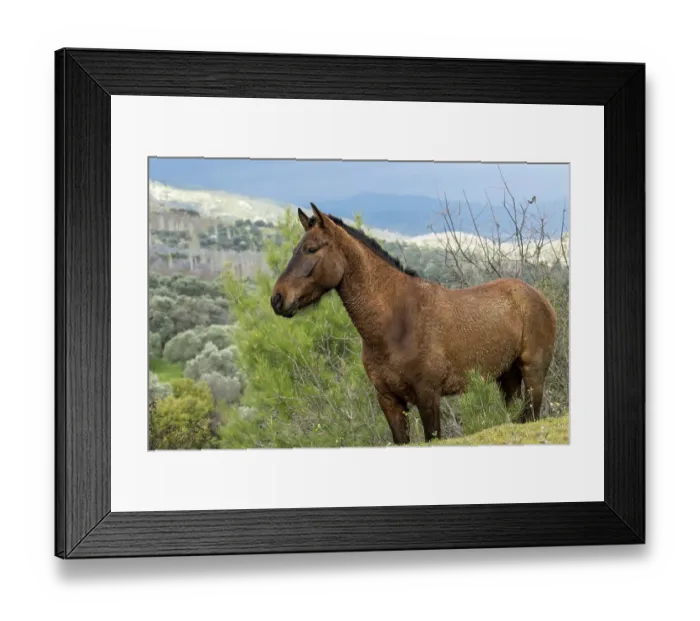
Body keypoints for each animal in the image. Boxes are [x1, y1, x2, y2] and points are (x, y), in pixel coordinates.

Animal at [270, 203, 557, 445]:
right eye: (296, 249)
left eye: (311, 249)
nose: (277, 298)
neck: (396, 323)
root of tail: (538, 297)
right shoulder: (390, 401)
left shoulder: (428, 397)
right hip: (507, 378)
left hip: (533, 376)